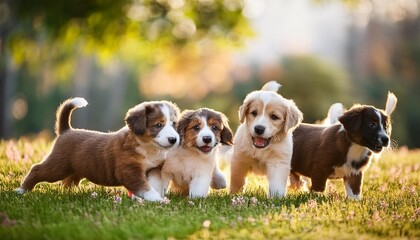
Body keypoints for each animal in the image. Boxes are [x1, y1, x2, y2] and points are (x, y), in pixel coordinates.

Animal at [16, 97, 180, 201]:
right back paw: (21, 190)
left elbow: (153, 183)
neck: (148, 147)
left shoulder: (153, 168)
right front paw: (156, 199)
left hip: (73, 170)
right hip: (57, 167)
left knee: (68, 182)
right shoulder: (129, 171)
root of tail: (66, 130)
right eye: (158, 125)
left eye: (173, 124)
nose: (174, 139)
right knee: (37, 169)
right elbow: (145, 187)